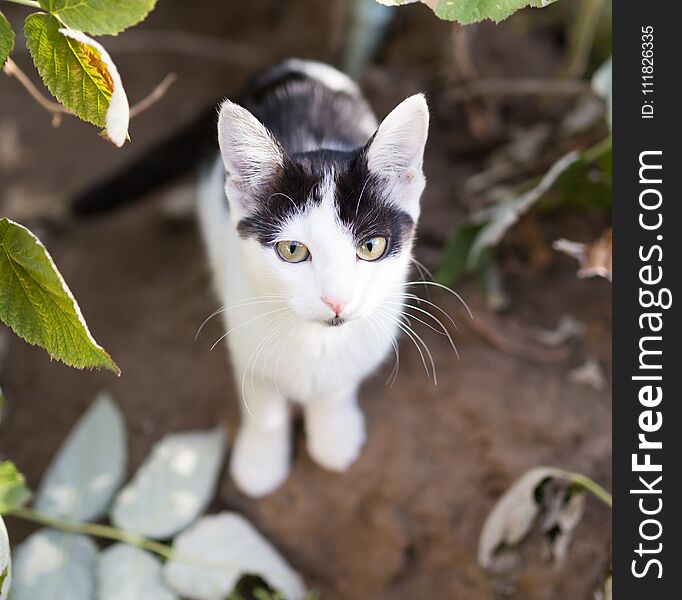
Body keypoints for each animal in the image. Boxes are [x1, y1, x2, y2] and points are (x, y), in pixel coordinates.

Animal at [198, 58, 430, 496]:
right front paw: (260, 462)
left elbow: (338, 385)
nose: (336, 300)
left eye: (371, 247)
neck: (315, 339)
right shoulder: (244, 332)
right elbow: (262, 402)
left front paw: (334, 435)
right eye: (293, 250)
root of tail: (292, 64)